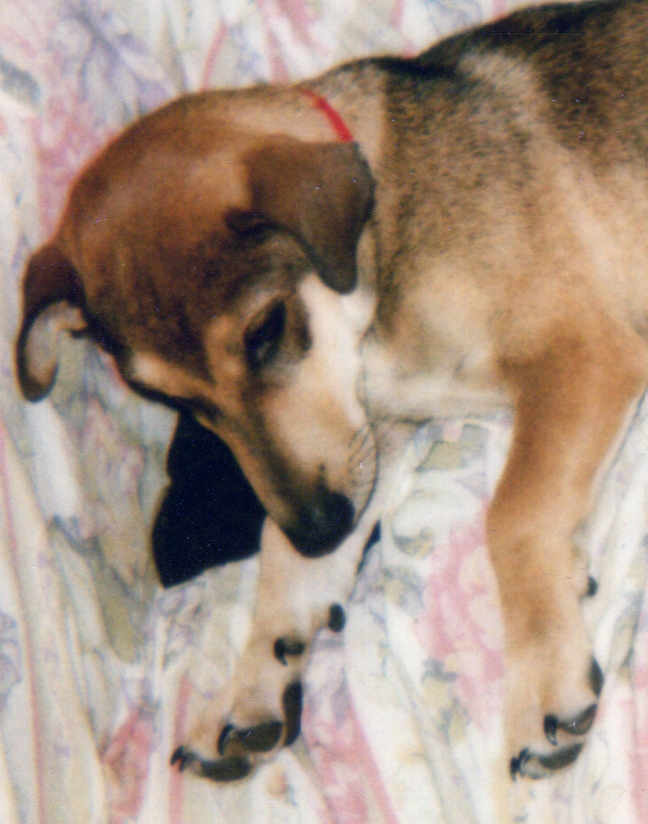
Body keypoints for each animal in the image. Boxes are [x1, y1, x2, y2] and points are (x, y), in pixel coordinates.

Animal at [13, 0, 648, 784]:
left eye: (264, 331)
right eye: (179, 403)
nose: (319, 530)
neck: (385, 232)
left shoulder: (583, 354)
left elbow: (516, 513)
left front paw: (545, 683)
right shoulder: (369, 441)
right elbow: (282, 566)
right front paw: (251, 686)